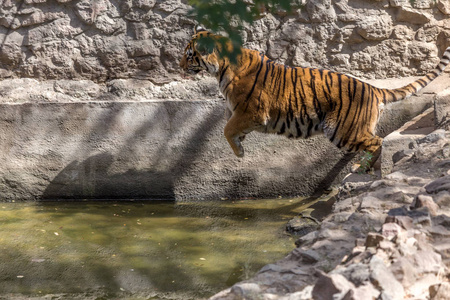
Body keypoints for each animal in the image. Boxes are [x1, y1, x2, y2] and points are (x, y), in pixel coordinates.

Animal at [179, 25, 450, 171]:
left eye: (189, 55)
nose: (179, 65)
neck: (221, 68)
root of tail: (372, 88)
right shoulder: (241, 114)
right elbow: (231, 129)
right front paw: (241, 145)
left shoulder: (251, 112)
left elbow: (226, 129)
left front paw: (239, 153)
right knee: (374, 141)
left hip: (342, 130)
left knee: (377, 142)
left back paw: (364, 169)